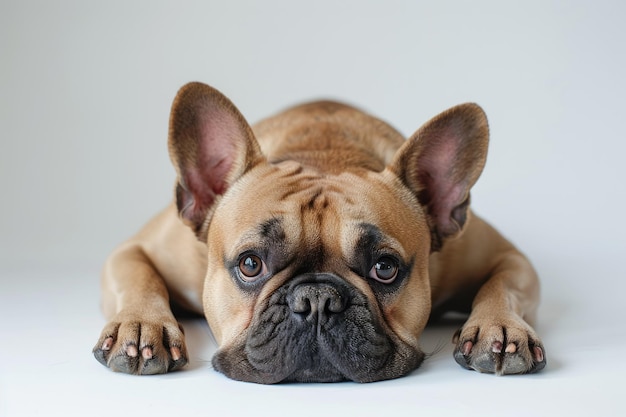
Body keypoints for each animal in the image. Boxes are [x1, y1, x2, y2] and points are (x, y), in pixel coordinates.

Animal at [91, 82, 540, 384]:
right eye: (250, 264)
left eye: (385, 268)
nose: (317, 300)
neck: (325, 151)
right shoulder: (136, 249)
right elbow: (138, 278)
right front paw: (141, 326)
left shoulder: (508, 257)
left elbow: (504, 286)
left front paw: (499, 328)